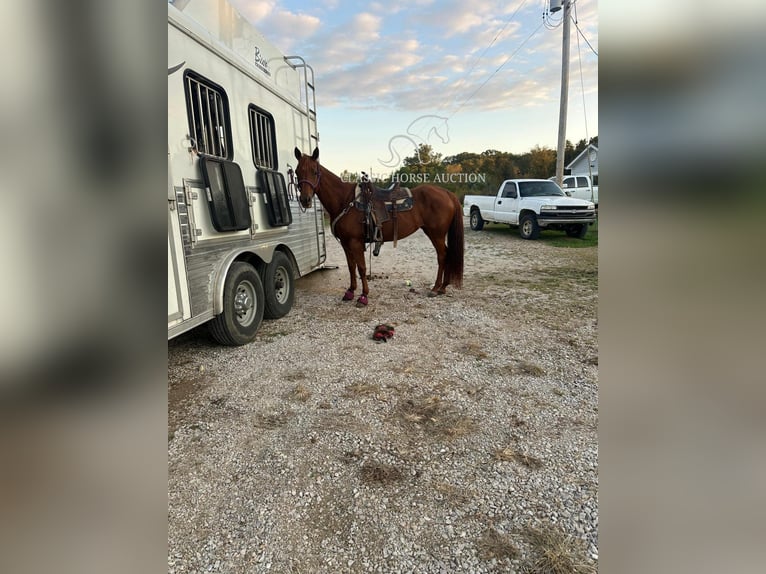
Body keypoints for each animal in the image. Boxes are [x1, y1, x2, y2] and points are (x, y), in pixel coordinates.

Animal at [292, 147, 462, 306]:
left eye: (315, 172)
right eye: (297, 172)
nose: (305, 200)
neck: (344, 200)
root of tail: (447, 193)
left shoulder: (355, 242)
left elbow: (361, 268)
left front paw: (364, 296)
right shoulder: (346, 244)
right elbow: (351, 267)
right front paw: (350, 291)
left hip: (436, 234)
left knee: (442, 255)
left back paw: (436, 288)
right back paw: (443, 287)